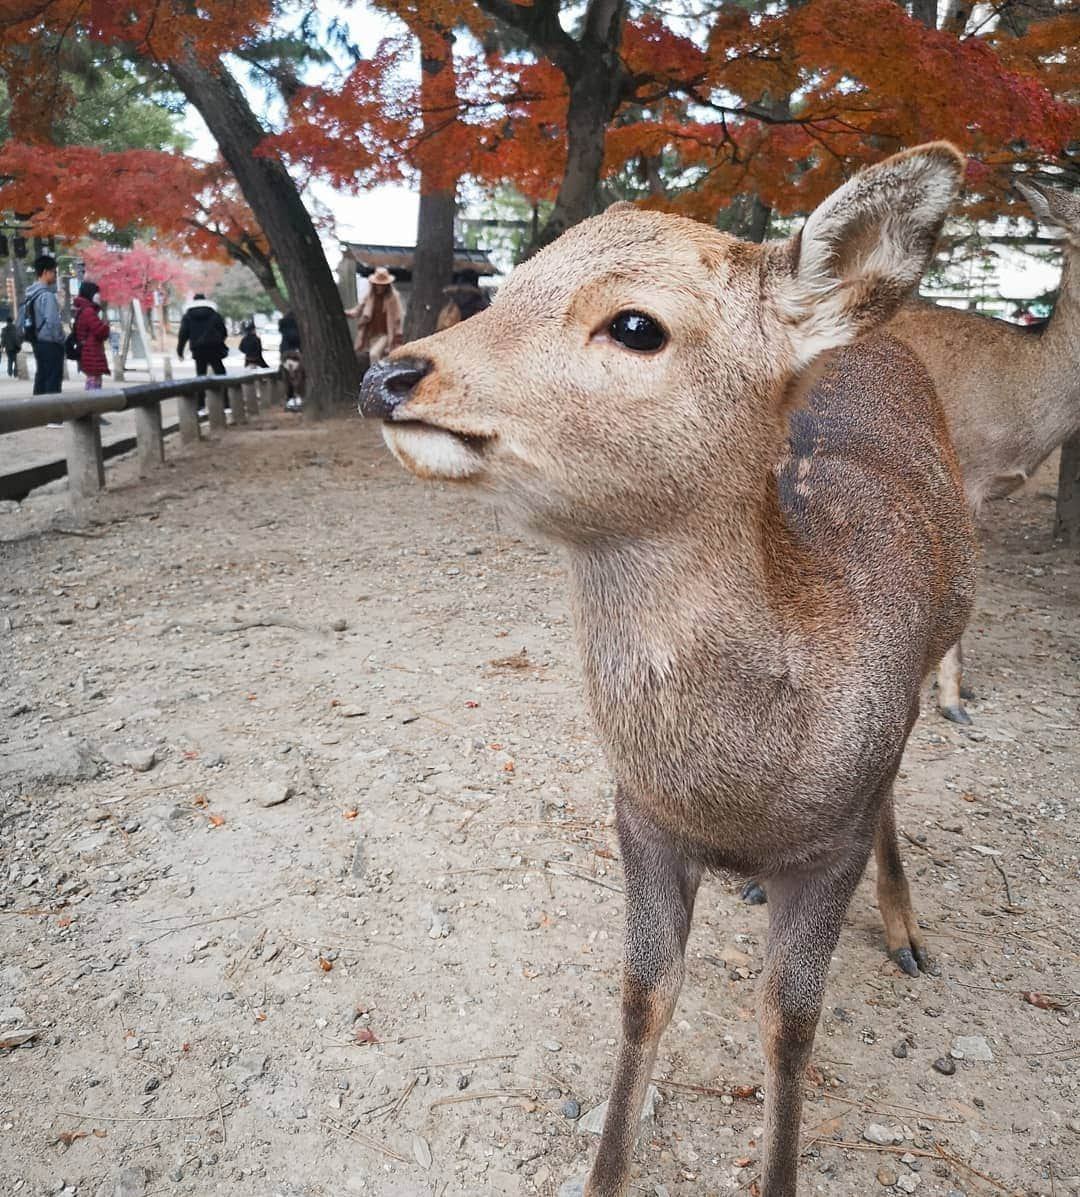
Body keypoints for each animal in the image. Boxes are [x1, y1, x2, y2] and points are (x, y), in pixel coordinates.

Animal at [359, 142, 977, 1197]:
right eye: (510, 282)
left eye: (636, 324)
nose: (392, 372)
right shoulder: (639, 815)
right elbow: (644, 995)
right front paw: (604, 1172)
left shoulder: (835, 837)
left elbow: (789, 1023)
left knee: (900, 779)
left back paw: (905, 933)